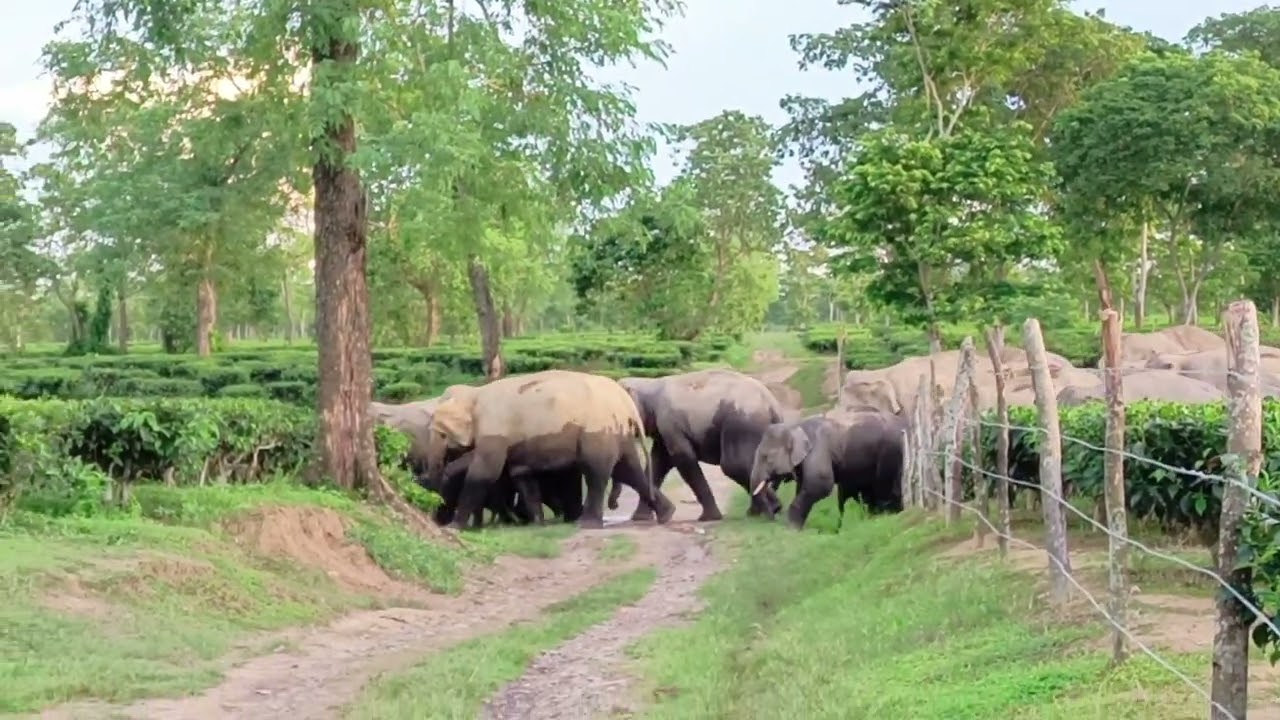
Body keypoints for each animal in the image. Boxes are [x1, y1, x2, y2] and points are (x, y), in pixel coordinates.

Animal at [423, 369, 675, 530]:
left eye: (441, 433)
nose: (439, 520)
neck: (475, 394)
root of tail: (626, 403)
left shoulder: (494, 429)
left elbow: (485, 473)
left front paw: (454, 527)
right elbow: (520, 473)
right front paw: (538, 524)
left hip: (597, 433)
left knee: (596, 472)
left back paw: (586, 524)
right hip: (616, 432)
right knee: (628, 469)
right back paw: (667, 514)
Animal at [606, 368, 785, 522]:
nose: (614, 505)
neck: (649, 384)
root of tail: (773, 405)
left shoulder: (669, 422)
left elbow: (683, 458)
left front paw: (709, 518)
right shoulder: (664, 429)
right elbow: (659, 462)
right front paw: (640, 518)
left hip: (740, 422)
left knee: (733, 466)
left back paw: (767, 509)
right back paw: (764, 510)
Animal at [748, 411, 907, 531]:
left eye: (767, 457)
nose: (774, 517)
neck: (795, 425)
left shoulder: (818, 449)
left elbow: (820, 484)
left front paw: (792, 527)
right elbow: (803, 486)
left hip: (891, 453)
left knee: (886, 488)